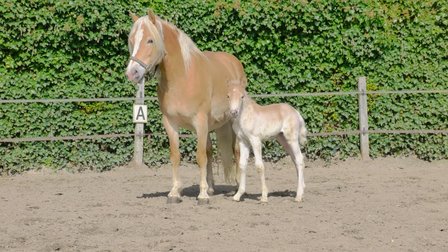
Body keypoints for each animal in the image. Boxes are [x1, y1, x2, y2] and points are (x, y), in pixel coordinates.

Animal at [124, 9, 247, 205]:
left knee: (235, 151)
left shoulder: (200, 122)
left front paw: (202, 195)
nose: (132, 72)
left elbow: (200, 157)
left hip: (231, 121)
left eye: (150, 40)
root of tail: (233, 62)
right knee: (210, 151)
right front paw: (175, 192)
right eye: (132, 40)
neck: (182, 78)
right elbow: (176, 156)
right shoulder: (170, 123)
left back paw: (236, 187)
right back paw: (211, 187)